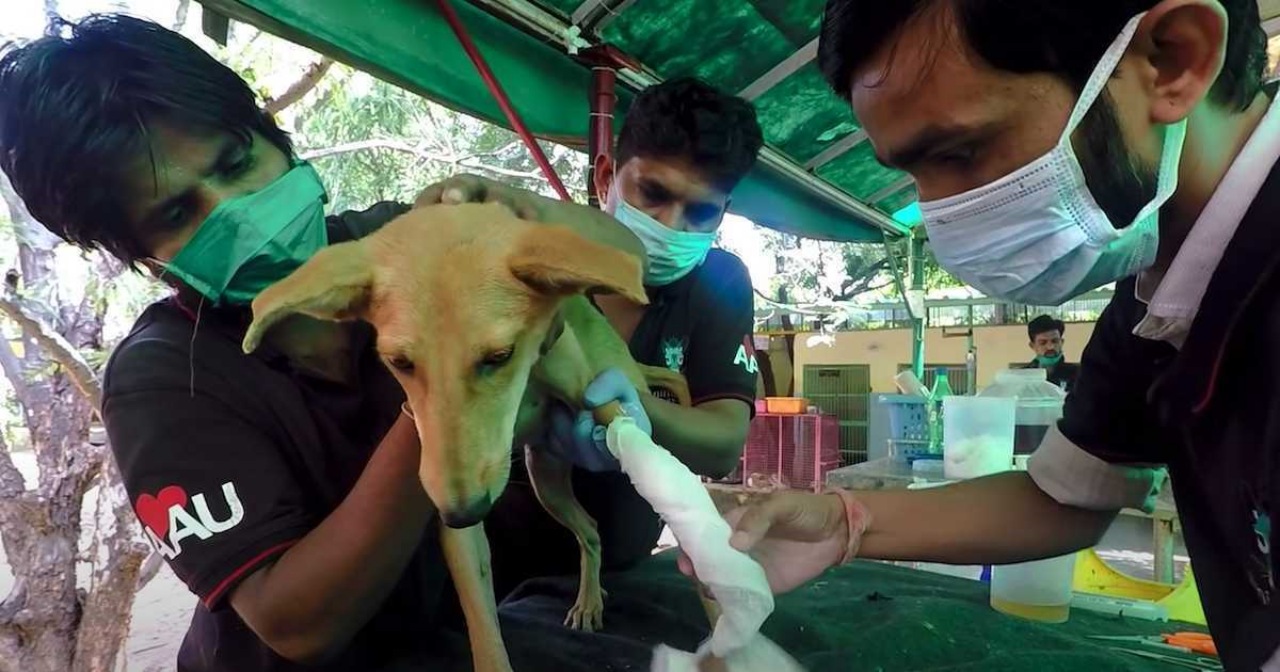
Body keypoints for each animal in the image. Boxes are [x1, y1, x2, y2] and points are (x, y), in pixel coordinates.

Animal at [243, 203, 696, 670]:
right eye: (400, 362)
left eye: (500, 356)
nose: (464, 512)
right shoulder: (456, 522)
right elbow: (484, 630)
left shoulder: (595, 395)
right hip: (545, 480)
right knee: (589, 528)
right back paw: (590, 598)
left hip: (619, 386)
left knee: (668, 379)